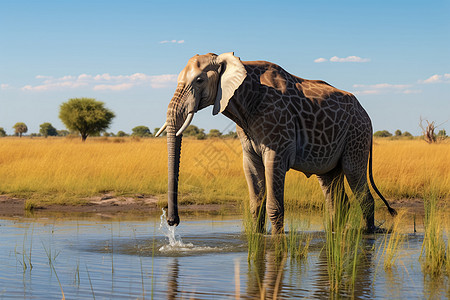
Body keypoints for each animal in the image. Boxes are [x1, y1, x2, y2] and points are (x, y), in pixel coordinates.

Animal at [156, 52, 396, 234]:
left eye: (199, 80)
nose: (172, 221)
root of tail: (366, 114)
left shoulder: (278, 129)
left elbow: (274, 189)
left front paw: (276, 240)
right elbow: (255, 186)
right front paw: (256, 237)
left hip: (358, 133)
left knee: (355, 176)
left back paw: (368, 234)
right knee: (331, 185)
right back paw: (335, 234)